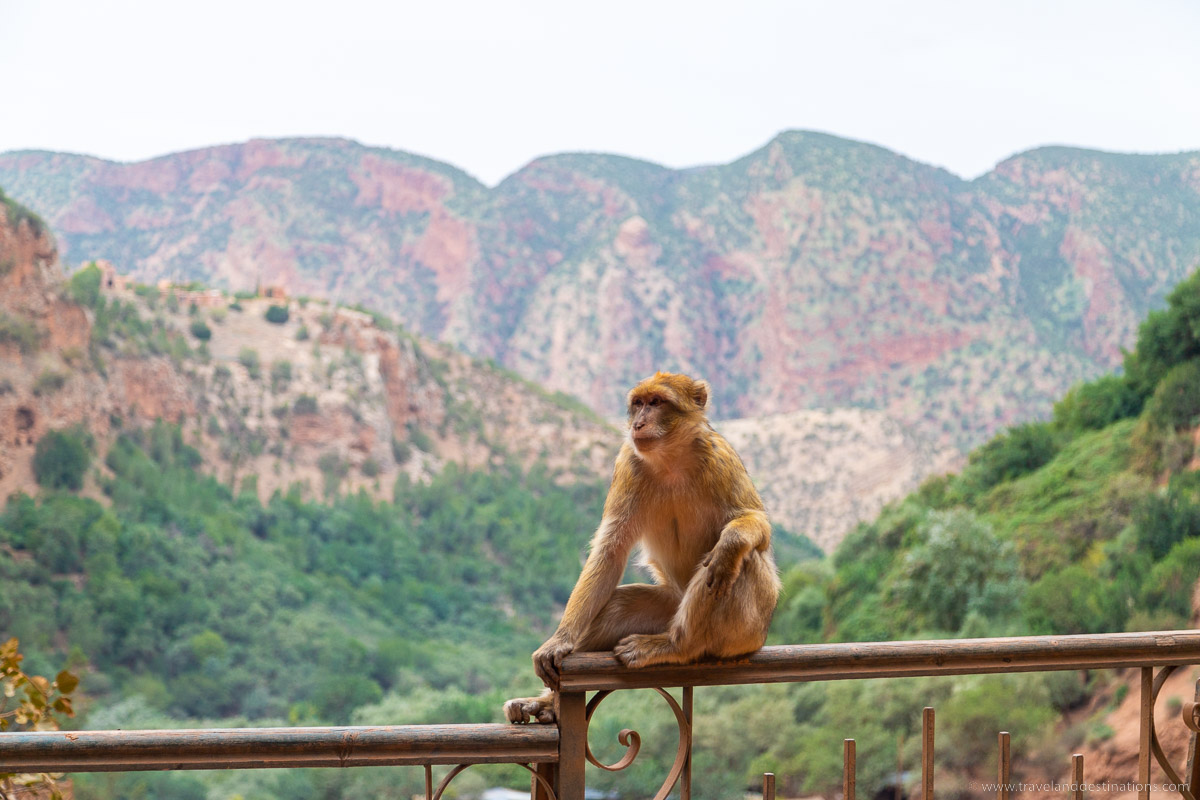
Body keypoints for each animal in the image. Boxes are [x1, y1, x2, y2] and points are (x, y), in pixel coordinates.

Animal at [504, 371, 780, 724]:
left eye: (657, 402)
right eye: (638, 403)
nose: (638, 423)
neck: (671, 458)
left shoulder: (722, 457)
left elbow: (756, 523)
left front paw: (730, 543)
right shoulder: (628, 463)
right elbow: (610, 550)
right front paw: (560, 641)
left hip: (746, 629)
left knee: (738, 561)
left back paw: (678, 645)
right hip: (668, 606)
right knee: (618, 605)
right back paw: (548, 704)